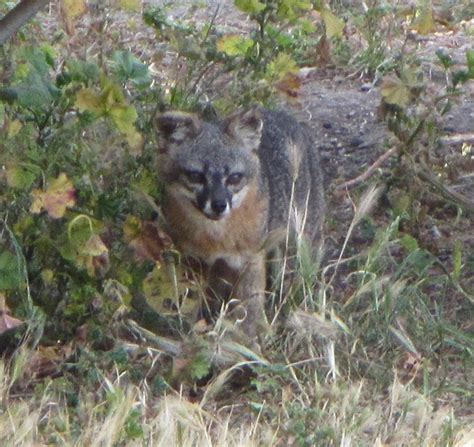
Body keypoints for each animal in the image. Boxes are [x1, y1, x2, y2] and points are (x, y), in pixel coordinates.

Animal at [156, 107, 326, 344]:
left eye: (234, 178)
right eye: (196, 176)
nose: (219, 205)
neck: (215, 239)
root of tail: (282, 114)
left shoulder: (251, 261)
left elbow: (249, 312)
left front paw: (246, 343)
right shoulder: (196, 262)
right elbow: (197, 301)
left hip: (295, 248)